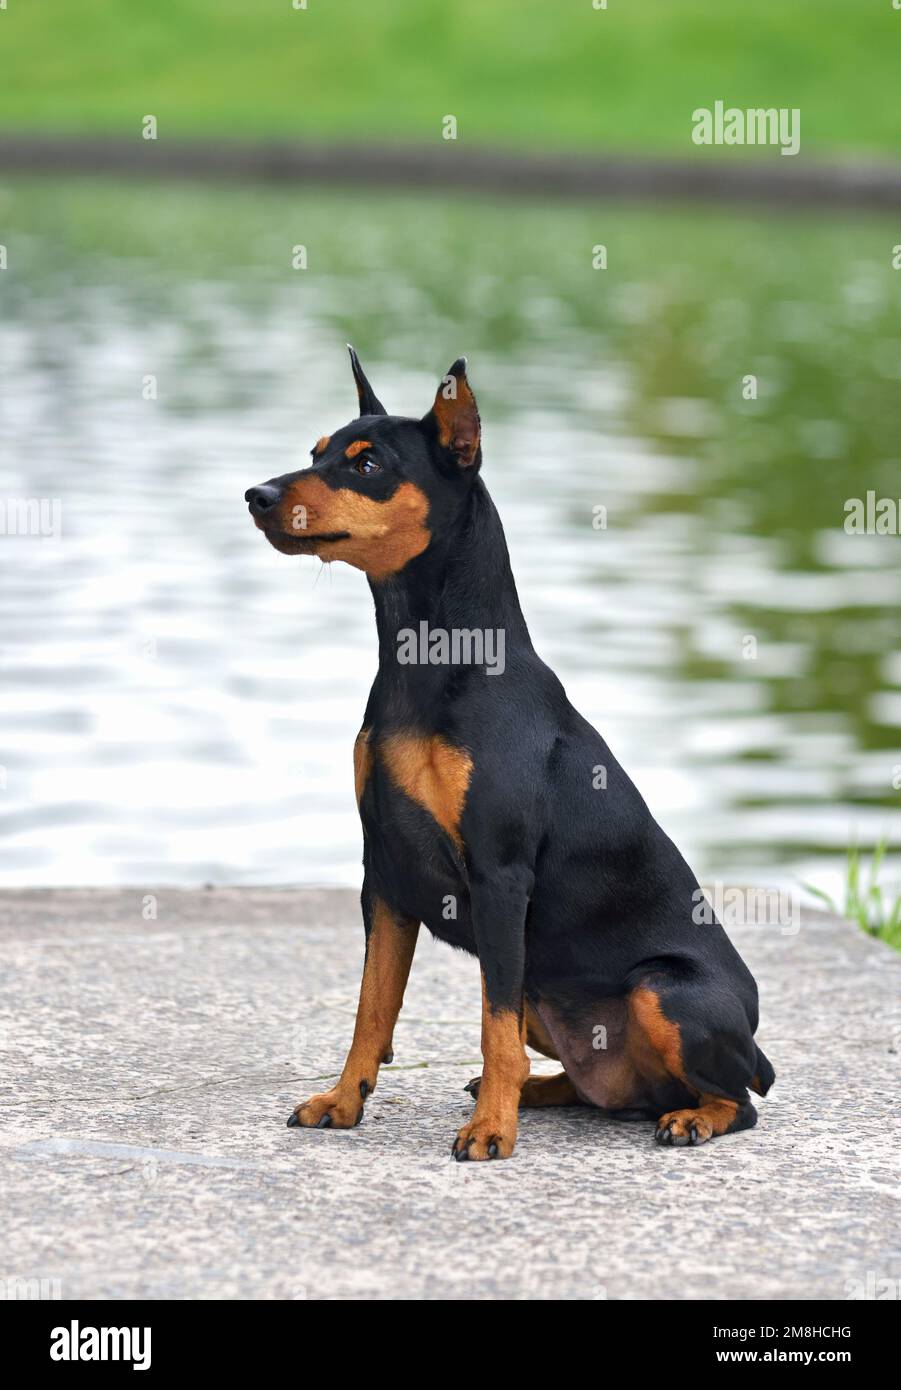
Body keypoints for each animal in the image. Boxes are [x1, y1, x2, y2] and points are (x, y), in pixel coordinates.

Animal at [246, 350, 773, 1162]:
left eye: (368, 464)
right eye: (316, 452)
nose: (257, 495)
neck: (428, 662)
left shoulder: (499, 876)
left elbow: (488, 1026)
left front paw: (491, 1132)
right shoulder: (384, 873)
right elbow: (371, 1008)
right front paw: (343, 1100)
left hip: (659, 990)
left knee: (736, 1097)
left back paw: (686, 1117)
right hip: (543, 989)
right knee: (599, 1088)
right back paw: (541, 1093)